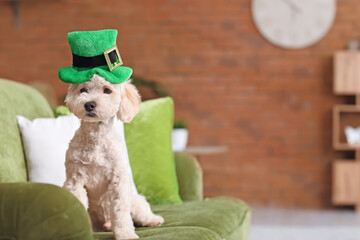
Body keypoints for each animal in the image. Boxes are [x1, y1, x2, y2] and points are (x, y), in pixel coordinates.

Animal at [63, 74, 165, 239]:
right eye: (83, 90)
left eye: (107, 90)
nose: (89, 104)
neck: (96, 140)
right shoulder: (75, 180)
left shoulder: (119, 181)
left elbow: (121, 213)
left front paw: (126, 235)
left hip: (136, 202)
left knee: (143, 213)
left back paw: (154, 220)